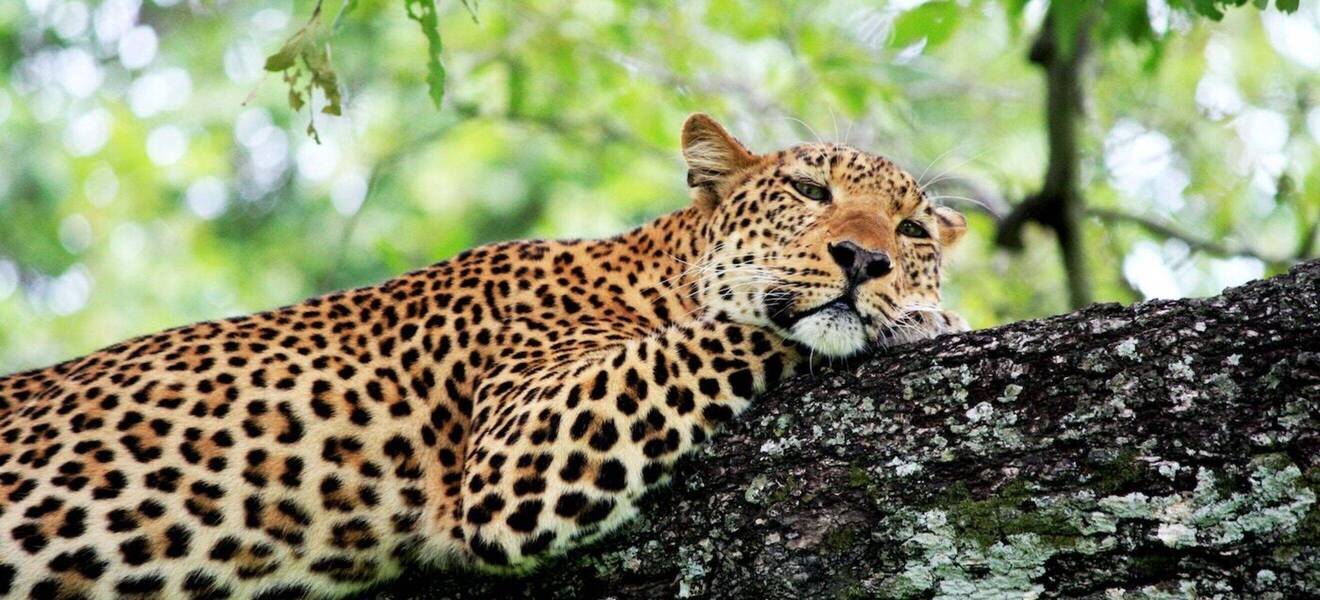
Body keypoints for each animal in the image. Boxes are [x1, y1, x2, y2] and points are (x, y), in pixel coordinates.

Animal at [0, 113, 968, 599]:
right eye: (808, 189)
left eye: (913, 229)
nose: (867, 261)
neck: (651, 272)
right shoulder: (521, 449)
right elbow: (735, 333)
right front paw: (928, 319)